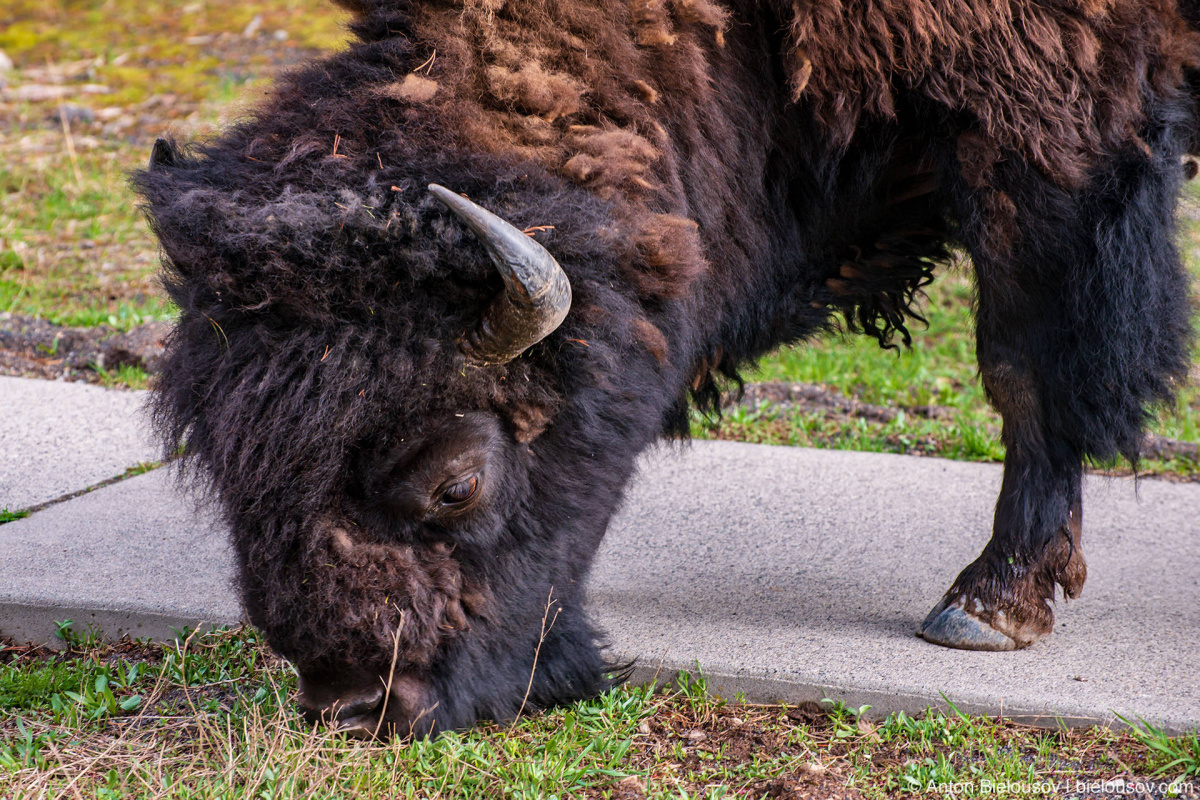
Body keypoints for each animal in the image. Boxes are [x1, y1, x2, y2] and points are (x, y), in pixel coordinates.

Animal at [136, 0, 1200, 738]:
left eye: (455, 483)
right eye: (231, 474)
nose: (356, 707)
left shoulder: (1046, 127)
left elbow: (1025, 367)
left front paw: (990, 604)